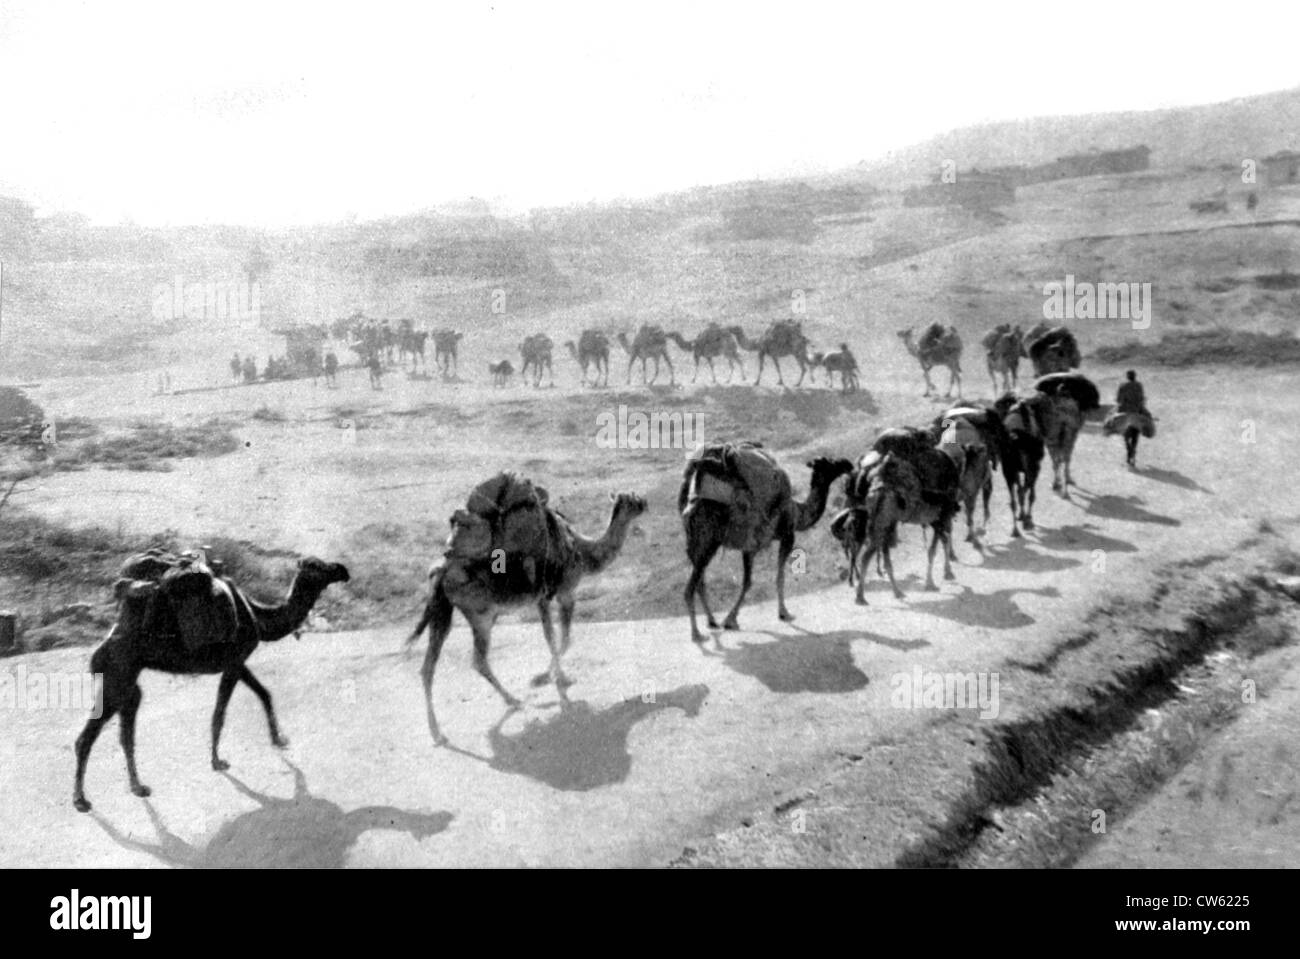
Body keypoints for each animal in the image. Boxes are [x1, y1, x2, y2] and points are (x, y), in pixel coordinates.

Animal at [73, 548, 348, 810]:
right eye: (317, 566)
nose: (342, 570)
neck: (257, 616)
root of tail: (107, 640)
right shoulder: (234, 662)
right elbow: (219, 714)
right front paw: (217, 761)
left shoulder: (237, 662)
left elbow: (264, 693)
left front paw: (279, 739)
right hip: (119, 674)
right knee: (87, 737)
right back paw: (80, 799)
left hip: (128, 682)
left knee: (126, 734)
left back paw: (138, 787)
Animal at [408, 488, 647, 743]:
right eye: (632, 499)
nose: (645, 502)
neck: (582, 551)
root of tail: (440, 571)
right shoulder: (563, 592)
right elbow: (561, 638)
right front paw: (550, 678)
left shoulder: (544, 598)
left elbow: (555, 637)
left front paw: (550, 677)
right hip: (480, 615)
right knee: (474, 660)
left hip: (446, 610)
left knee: (436, 665)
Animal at [681, 447, 852, 641]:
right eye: (830, 462)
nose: (847, 463)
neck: (797, 512)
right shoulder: (787, 535)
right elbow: (778, 577)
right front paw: (784, 613)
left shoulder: (750, 547)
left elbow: (747, 582)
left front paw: (730, 620)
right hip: (709, 540)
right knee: (690, 588)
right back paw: (696, 633)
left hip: (695, 543)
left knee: (700, 582)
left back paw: (712, 621)